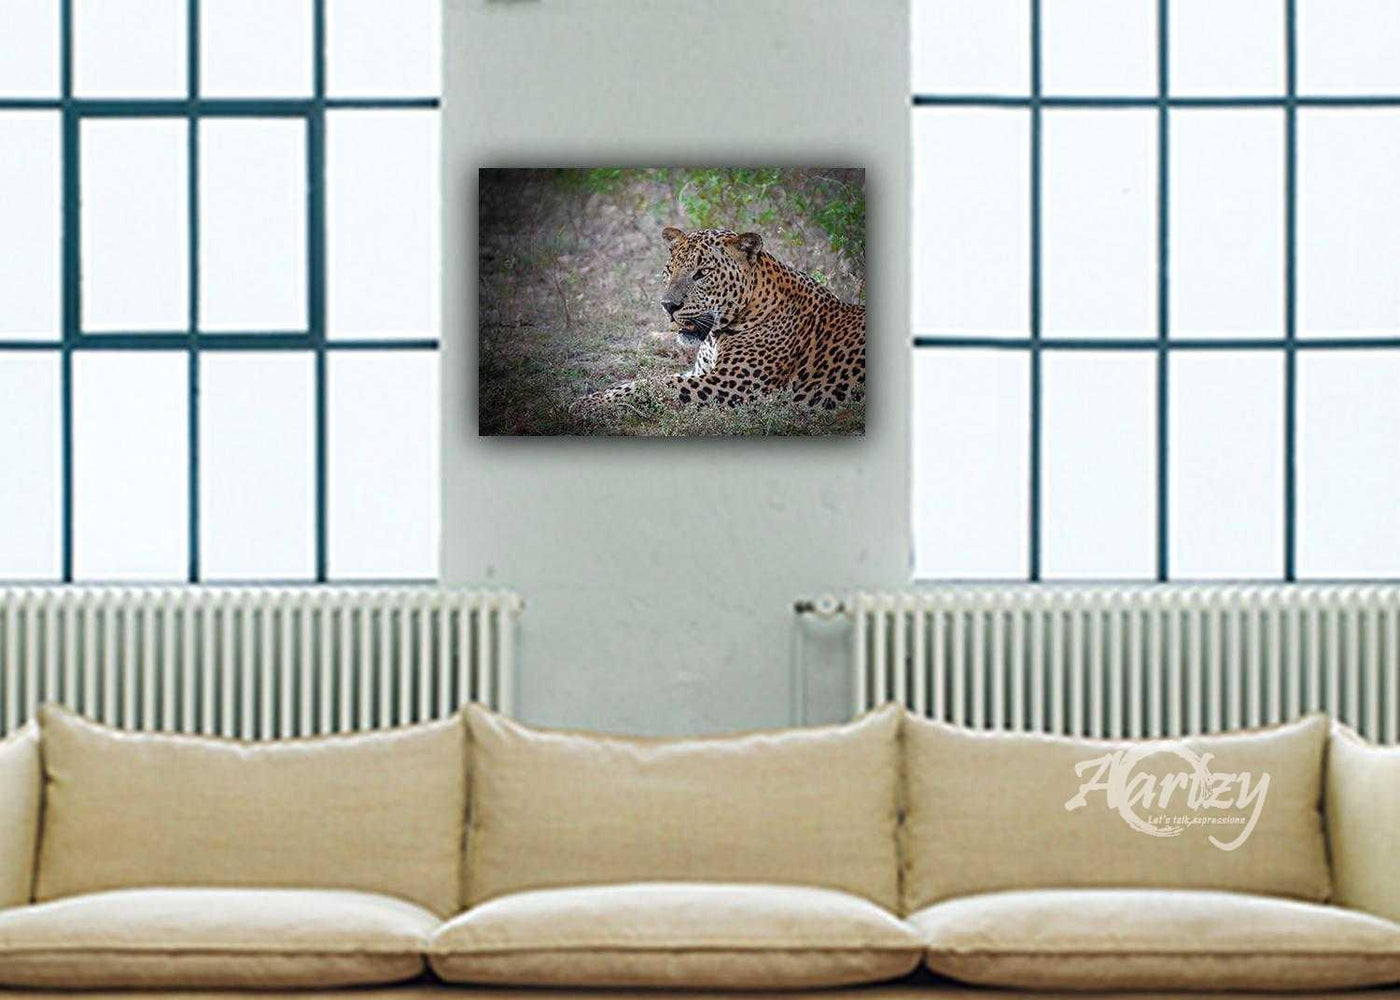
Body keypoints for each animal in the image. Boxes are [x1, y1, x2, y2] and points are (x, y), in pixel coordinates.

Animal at [572, 226, 865, 419]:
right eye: (670, 270)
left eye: (702, 273)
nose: (668, 306)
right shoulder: (701, 373)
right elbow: (639, 381)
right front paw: (588, 398)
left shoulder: (731, 383)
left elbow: (655, 384)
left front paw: (586, 406)